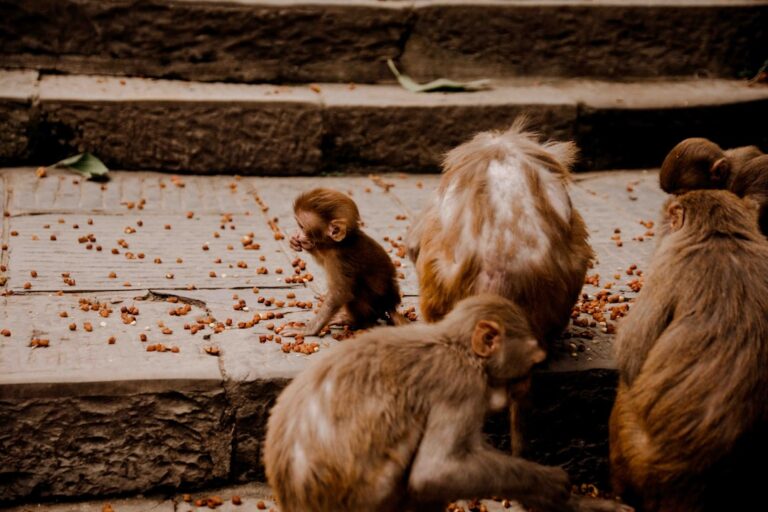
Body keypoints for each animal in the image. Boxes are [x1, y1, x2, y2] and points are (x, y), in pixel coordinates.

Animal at [265, 294, 629, 512]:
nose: (525, 385)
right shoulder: (462, 386)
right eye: (530, 364)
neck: (457, 347)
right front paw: (550, 484)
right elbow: (436, 471)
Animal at [283, 188, 405, 337]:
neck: (340, 243)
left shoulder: (341, 260)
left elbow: (340, 294)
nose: (299, 234)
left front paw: (307, 330)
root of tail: (390, 304)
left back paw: (354, 321)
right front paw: (295, 242)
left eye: (302, 226)